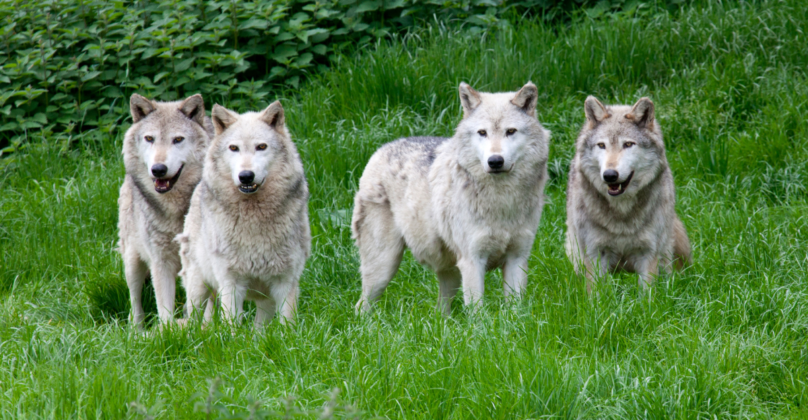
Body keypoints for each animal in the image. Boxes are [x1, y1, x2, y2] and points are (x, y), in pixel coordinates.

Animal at [118, 93, 213, 326]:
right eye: (149, 138)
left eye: (177, 139)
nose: (158, 169)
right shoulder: (160, 262)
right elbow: (164, 310)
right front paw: (169, 333)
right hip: (132, 261)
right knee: (135, 302)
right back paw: (137, 330)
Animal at [177, 101, 310, 327]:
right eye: (234, 148)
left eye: (261, 147)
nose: (246, 176)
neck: (253, 216)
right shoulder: (231, 282)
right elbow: (232, 325)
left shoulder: (286, 282)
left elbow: (287, 325)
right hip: (198, 287)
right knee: (193, 321)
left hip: (264, 300)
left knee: (259, 329)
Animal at [352, 82, 550, 315]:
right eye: (482, 133)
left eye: (510, 131)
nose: (495, 161)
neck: (503, 200)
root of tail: (382, 148)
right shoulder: (473, 261)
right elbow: (477, 313)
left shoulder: (517, 259)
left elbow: (516, 311)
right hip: (384, 267)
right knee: (361, 306)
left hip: (450, 273)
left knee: (440, 310)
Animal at [565, 96, 692, 295]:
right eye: (601, 145)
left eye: (628, 144)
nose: (609, 175)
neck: (622, 214)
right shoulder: (594, 253)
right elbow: (596, 296)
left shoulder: (648, 253)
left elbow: (647, 296)